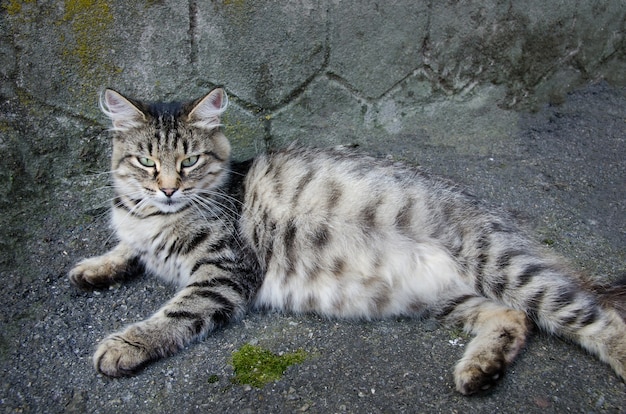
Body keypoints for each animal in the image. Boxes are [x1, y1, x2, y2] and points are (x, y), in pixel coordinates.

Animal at [69, 86, 624, 394]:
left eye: (188, 161)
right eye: (146, 161)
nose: (167, 189)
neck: (154, 216)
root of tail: (496, 214)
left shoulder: (224, 270)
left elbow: (174, 314)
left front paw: (125, 344)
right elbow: (126, 249)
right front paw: (95, 267)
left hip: (506, 267)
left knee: (599, 318)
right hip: (452, 298)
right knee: (512, 319)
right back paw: (480, 371)